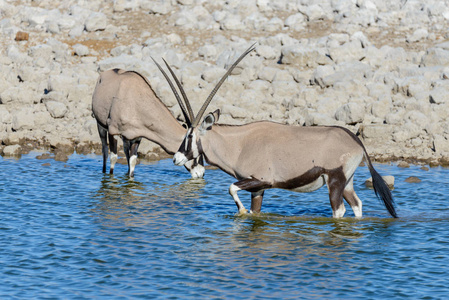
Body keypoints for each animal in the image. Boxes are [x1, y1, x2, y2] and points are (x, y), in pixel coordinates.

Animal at [154, 44, 396, 218]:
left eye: (190, 135)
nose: (176, 158)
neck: (238, 144)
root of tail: (356, 141)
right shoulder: (257, 189)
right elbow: (254, 211)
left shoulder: (260, 181)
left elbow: (231, 188)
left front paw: (240, 212)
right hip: (347, 182)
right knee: (357, 205)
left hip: (335, 181)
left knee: (340, 211)